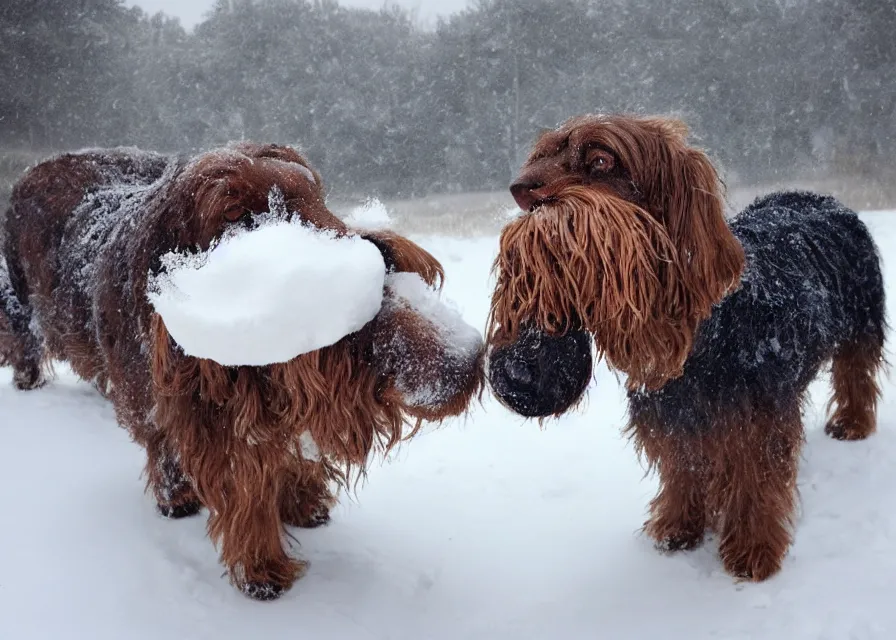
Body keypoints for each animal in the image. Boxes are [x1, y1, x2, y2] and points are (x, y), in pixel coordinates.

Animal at [0, 141, 486, 600]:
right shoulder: (194, 412)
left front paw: (301, 500)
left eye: (317, 195)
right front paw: (260, 567)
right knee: (26, 342)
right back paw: (30, 382)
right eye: (235, 214)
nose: (378, 255)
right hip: (20, 300)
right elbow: (235, 486)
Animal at [486, 114, 884, 580]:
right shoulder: (669, 420)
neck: (701, 344)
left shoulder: (759, 420)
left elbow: (757, 482)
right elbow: (682, 470)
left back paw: (852, 423)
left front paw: (752, 551)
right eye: (544, 153)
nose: (518, 189)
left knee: (855, 373)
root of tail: (820, 197)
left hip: (862, 323)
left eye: (601, 160)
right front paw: (679, 527)